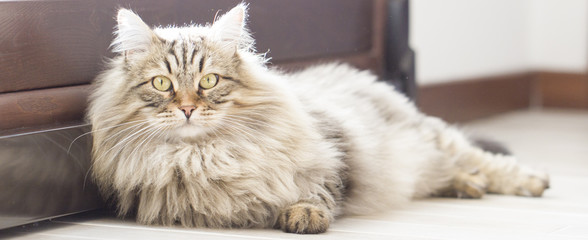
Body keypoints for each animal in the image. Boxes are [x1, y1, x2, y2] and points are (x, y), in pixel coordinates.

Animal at [88, 2, 552, 233]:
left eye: (208, 80)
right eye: (162, 84)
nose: (186, 108)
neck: (205, 154)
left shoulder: (333, 153)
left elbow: (318, 190)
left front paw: (304, 215)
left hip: (434, 139)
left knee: (486, 160)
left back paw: (530, 182)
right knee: (455, 171)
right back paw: (465, 186)